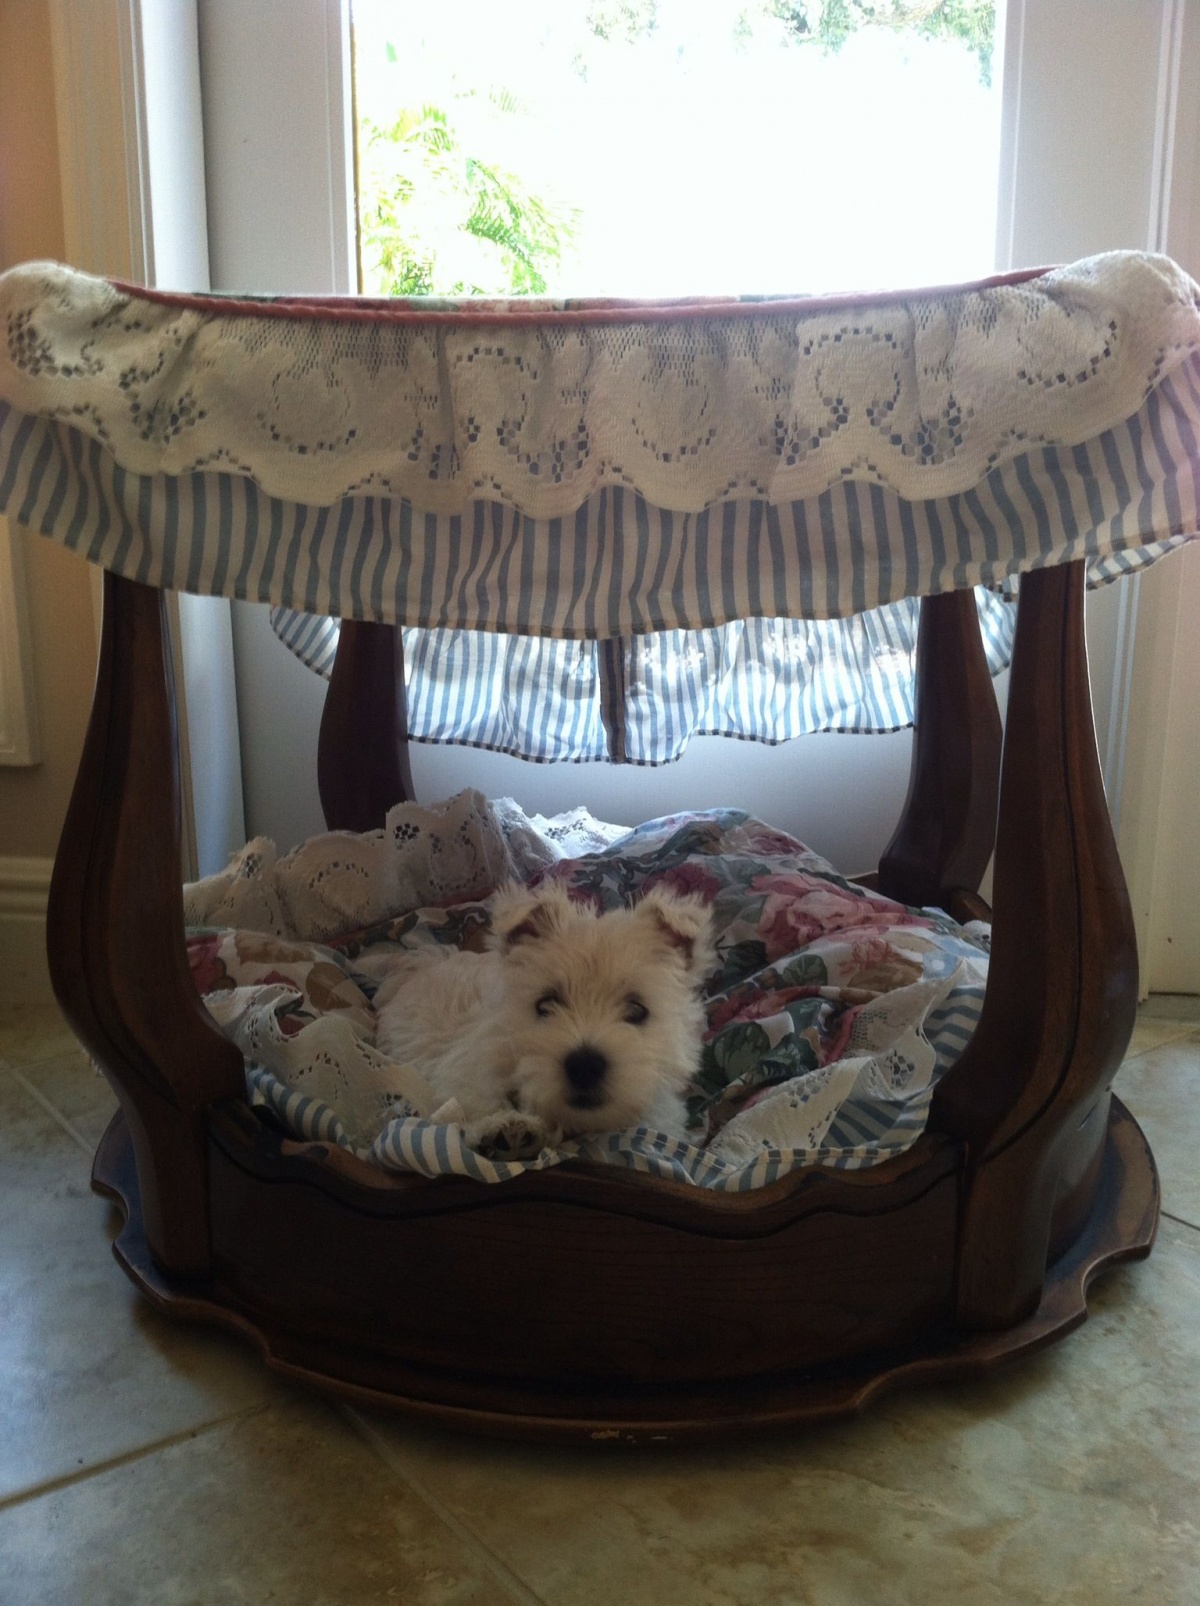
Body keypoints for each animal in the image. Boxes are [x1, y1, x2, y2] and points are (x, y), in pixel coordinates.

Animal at [372, 880, 713, 1156]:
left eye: (637, 1010)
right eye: (545, 1004)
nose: (585, 1065)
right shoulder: (465, 1066)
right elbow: (473, 1101)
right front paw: (504, 1126)